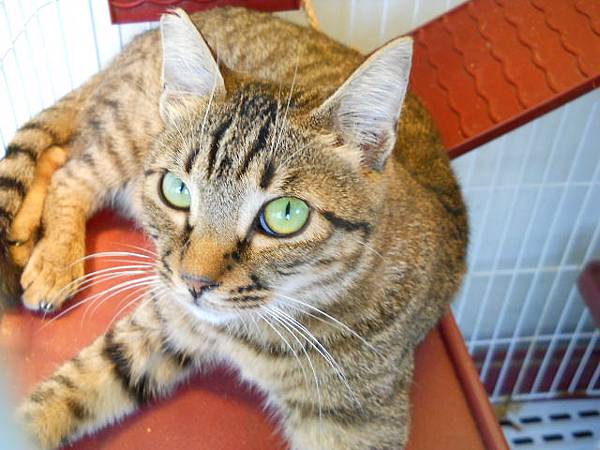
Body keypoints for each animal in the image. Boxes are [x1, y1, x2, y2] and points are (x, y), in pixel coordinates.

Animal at [0, 7, 467, 450]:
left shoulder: (357, 421)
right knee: (69, 171)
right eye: (177, 189)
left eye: (285, 214)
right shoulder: (163, 318)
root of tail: (134, 43)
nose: (194, 283)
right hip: (123, 137)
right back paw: (52, 261)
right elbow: (63, 391)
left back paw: (27, 242)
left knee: (59, 156)